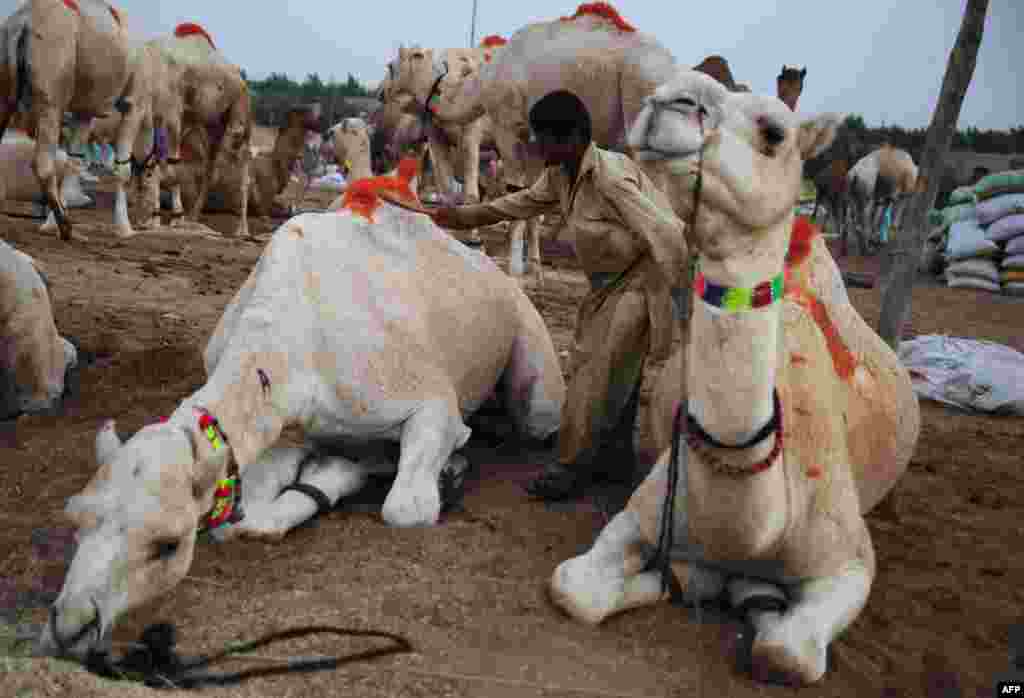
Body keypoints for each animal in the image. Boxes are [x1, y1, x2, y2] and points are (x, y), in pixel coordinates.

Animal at [0, 0, 132, 241]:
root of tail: (23, 22)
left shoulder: (85, 110)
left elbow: (75, 159)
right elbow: (122, 169)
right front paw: (125, 228)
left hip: (5, 84)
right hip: (51, 88)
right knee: (43, 162)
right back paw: (66, 226)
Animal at [36, 162, 565, 659]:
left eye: (168, 545)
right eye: (76, 519)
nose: (68, 628)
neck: (288, 345)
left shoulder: (432, 404)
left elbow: (404, 504)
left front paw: (440, 471)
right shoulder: (285, 426)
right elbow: (252, 510)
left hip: (537, 381)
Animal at [548, 72, 925, 683]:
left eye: (774, 131)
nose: (667, 100)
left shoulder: (849, 562)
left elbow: (786, 654)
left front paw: (751, 595)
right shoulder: (644, 513)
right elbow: (576, 589)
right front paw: (686, 579)